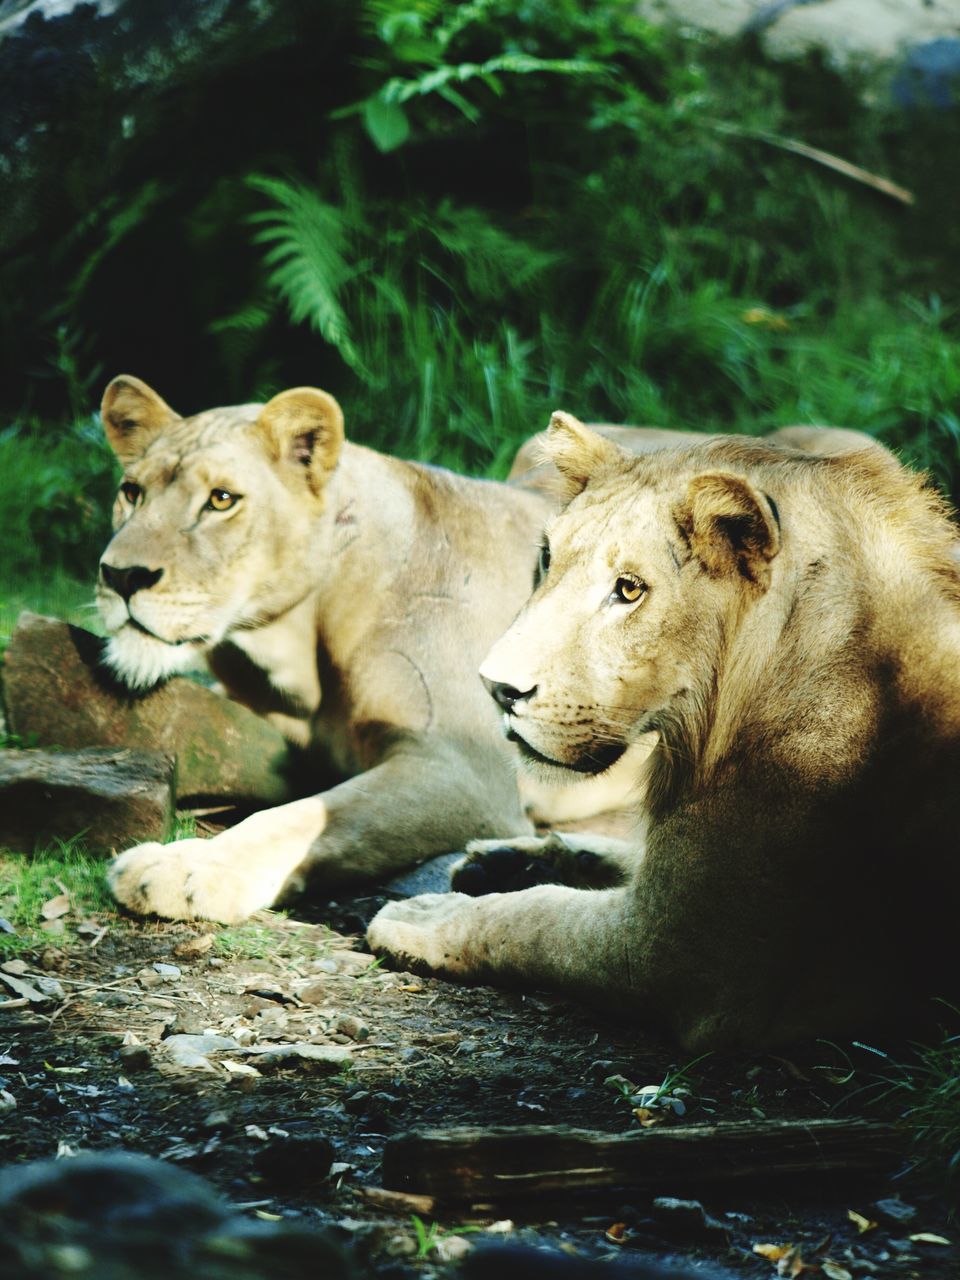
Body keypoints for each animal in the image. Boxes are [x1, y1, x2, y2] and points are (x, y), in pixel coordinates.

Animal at [371, 414, 960, 1044]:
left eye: (629, 590)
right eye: (547, 558)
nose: (496, 688)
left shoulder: (679, 958)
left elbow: (536, 919)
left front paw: (426, 916)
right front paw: (514, 859)